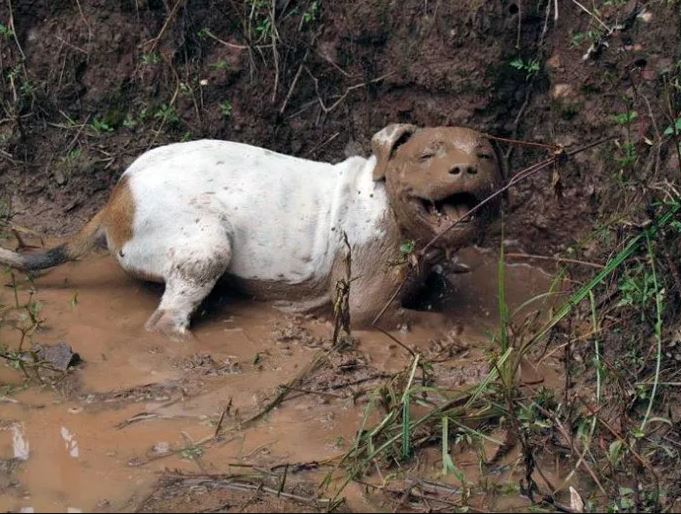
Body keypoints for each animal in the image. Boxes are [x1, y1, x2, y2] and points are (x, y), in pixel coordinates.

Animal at [0, 122, 502, 334]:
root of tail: (116, 198)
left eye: (486, 156)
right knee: (166, 319)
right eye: (427, 154)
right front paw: (453, 330)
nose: (465, 169)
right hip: (206, 246)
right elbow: (416, 318)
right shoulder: (363, 306)